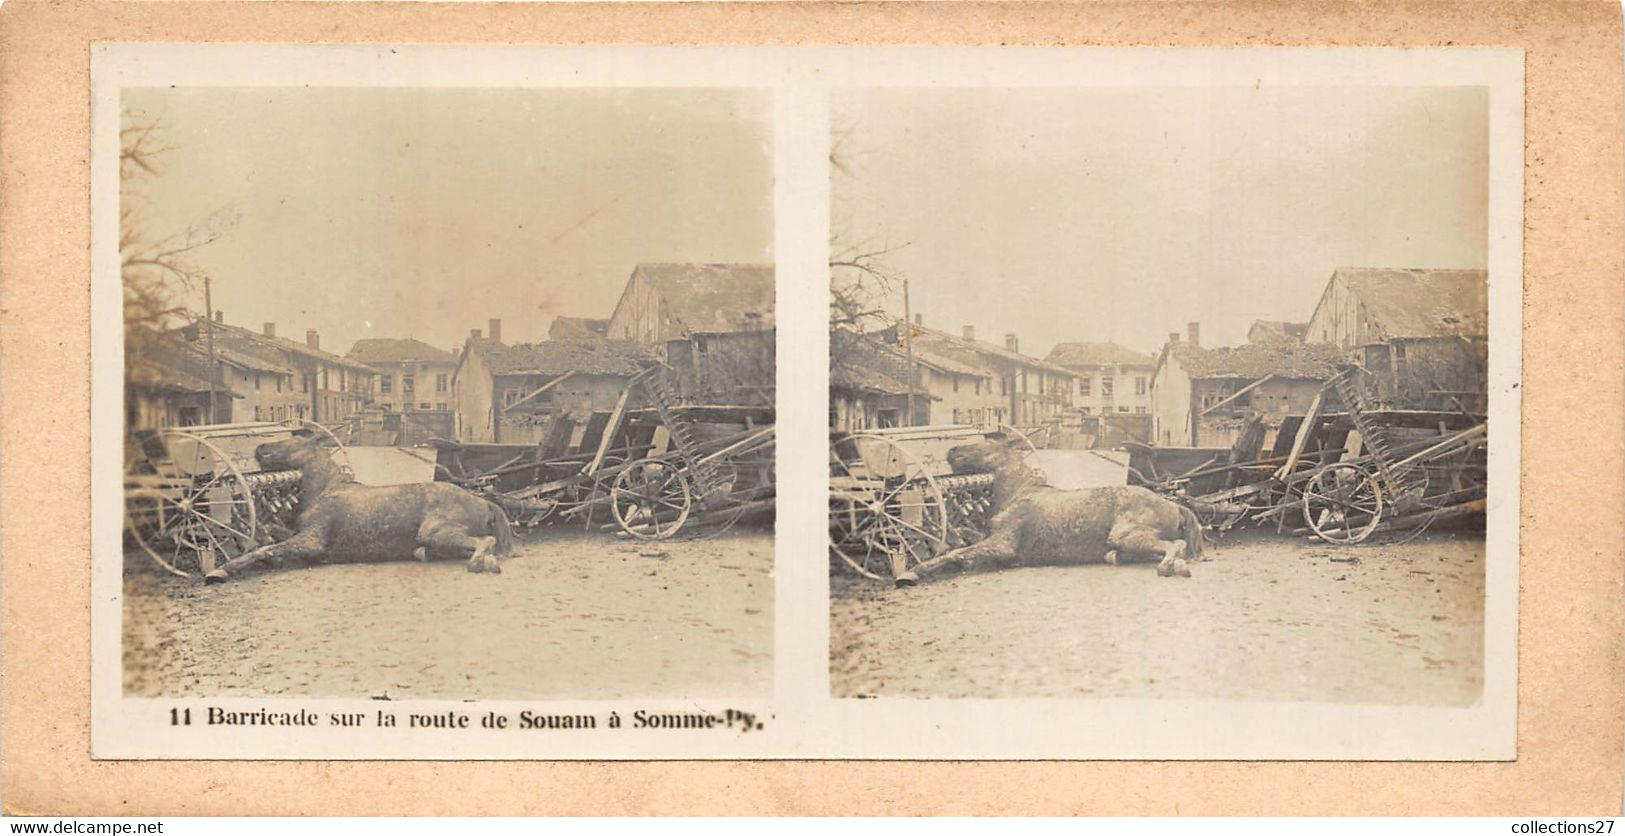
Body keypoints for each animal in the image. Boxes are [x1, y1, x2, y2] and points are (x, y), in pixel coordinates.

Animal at [202, 429, 510, 579]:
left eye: (295, 440)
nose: (260, 448)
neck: (325, 490)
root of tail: (483, 502)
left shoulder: (312, 542)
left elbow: (264, 549)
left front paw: (219, 571)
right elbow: (268, 542)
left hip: (435, 532)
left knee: (486, 541)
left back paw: (480, 563)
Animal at [903, 435, 1209, 585]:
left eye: (987, 444)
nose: (952, 450)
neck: (1018, 493)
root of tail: (1172, 504)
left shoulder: (1003, 546)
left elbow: (957, 553)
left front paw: (911, 573)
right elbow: (961, 546)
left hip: (1126, 536)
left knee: (1176, 546)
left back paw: (1169, 567)